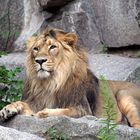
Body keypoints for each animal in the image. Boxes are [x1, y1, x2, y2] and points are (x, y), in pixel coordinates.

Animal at [0, 28, 140, 129]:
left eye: (52, 47)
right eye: (36, 48)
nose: (39, 60)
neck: (51, 82)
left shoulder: (84, 110)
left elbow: (65, 111)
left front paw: (44, 113)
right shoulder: (37, 101)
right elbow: (22, 103)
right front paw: (8, 109)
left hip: (124, 95)